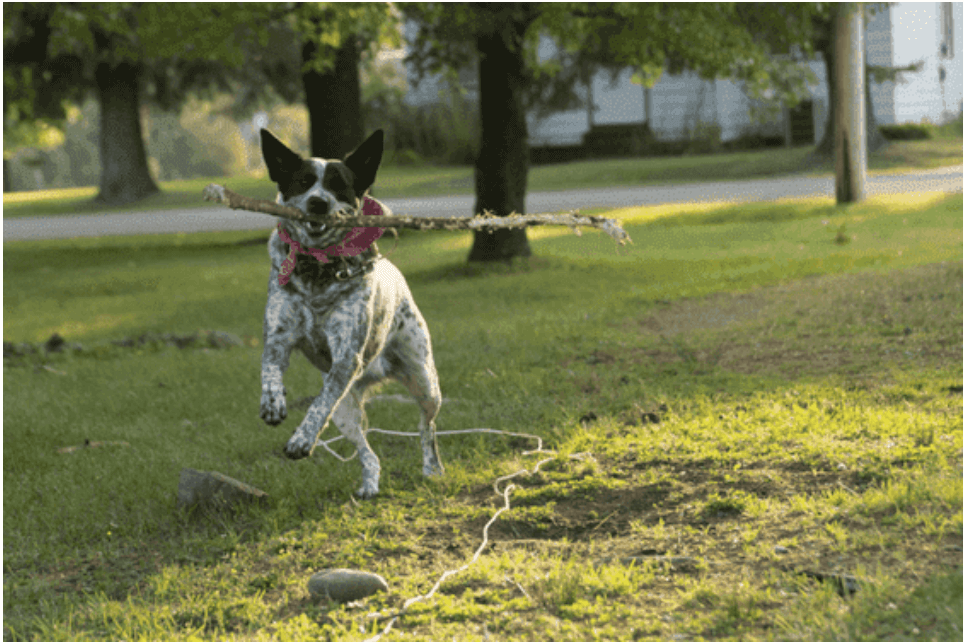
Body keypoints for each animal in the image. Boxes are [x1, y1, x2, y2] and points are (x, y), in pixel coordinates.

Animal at [252, 125, 440, 496]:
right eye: (303, 181)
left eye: (339, 184)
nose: (318, 202)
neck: (318, 271)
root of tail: (374, 373)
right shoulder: (278, 337)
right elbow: (269, 368)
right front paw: (273, 403)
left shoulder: (345, 357)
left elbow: (319, 404)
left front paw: (300, 440)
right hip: (346, 414)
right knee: (368, 453)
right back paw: (370, 484)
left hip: (425, 383)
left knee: (427, 428)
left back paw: (432, 469)